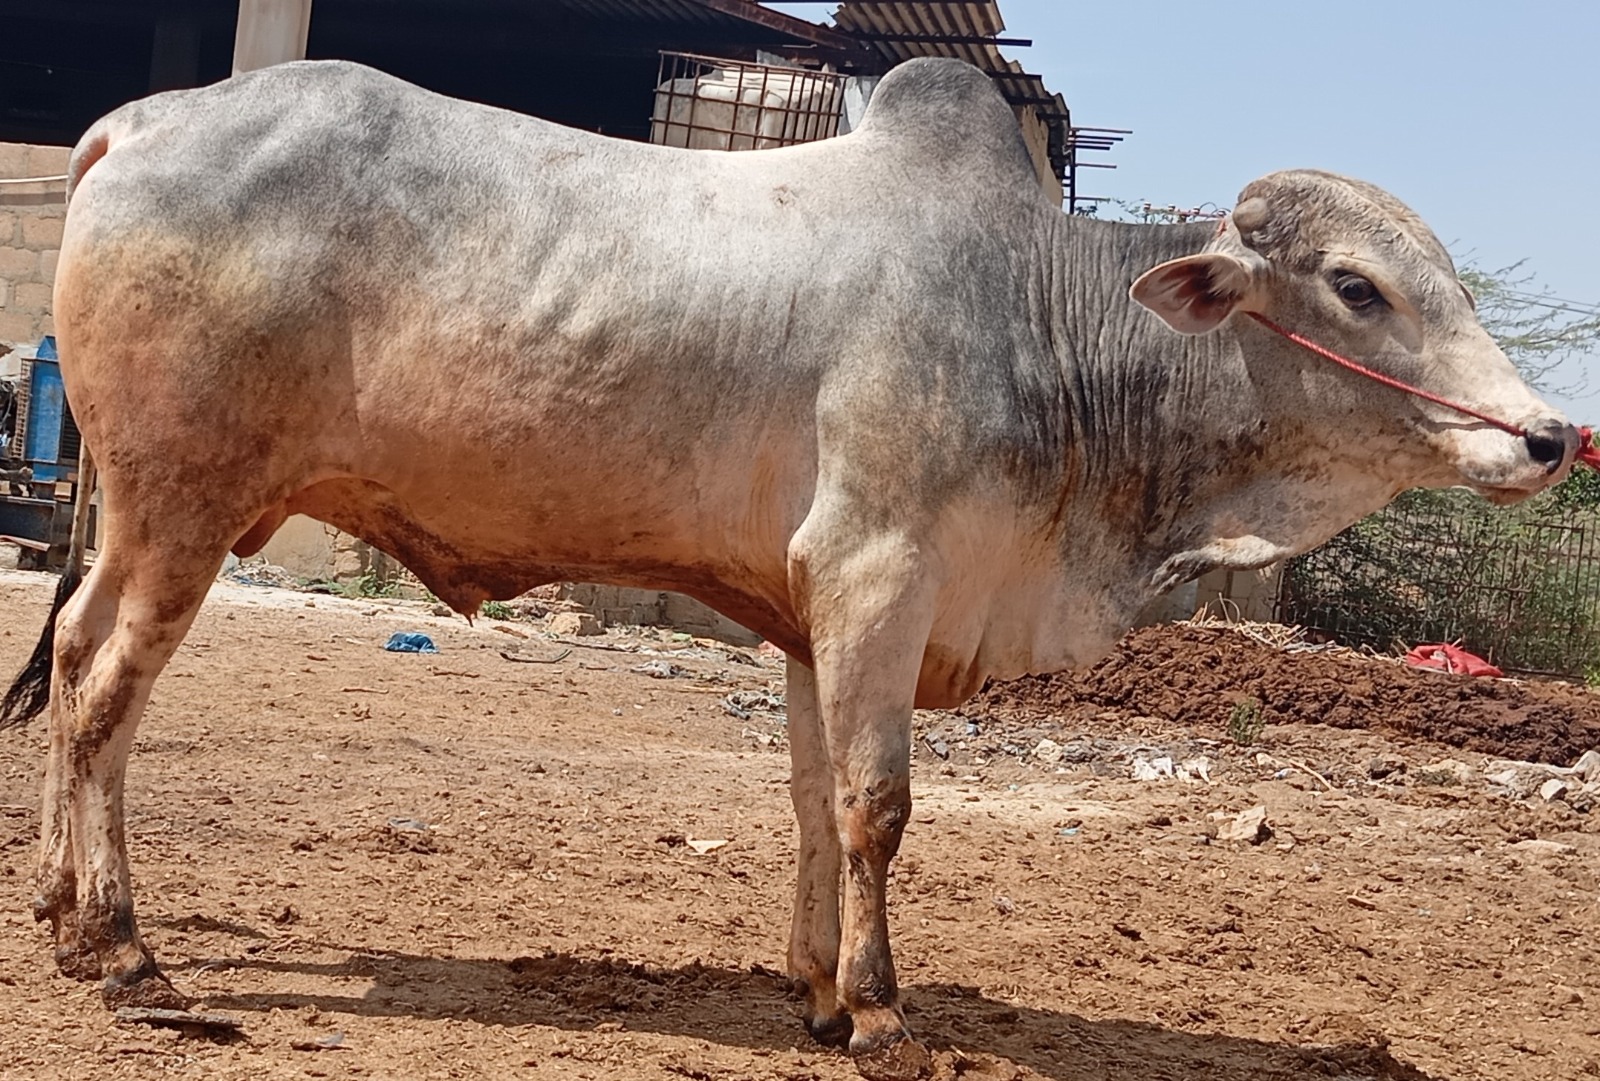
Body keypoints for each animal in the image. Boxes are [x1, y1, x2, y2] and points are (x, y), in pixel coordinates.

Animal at [0, 55, 1575, 1071]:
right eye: (1357, 288)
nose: (1551, 436)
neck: (1048, 327)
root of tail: (138, 123)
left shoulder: (814, 617)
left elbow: (818, 810)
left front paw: (816, 991)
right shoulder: (880, 575)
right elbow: (880, 807)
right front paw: (881, 1013)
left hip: (141, 520)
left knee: (71, 666)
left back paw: (62, 907)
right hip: (186, 510)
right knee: (106, 698)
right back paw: (122, 949)